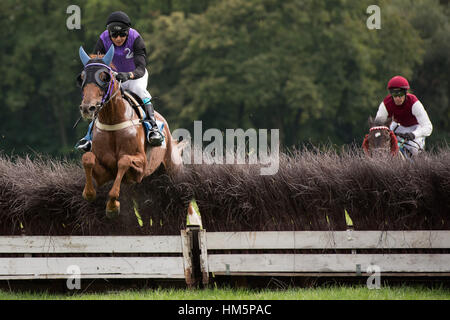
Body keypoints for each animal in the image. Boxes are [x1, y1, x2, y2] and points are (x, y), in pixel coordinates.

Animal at [78, 45, 184, 218]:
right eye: (81, 78)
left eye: (104, 77)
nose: (88, 108)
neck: (113, 121)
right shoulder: (104, 172)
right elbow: (87, 158)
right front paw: (89, 193)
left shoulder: (141, 166)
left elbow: (124, 161)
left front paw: (112, 206)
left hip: (173, 168)